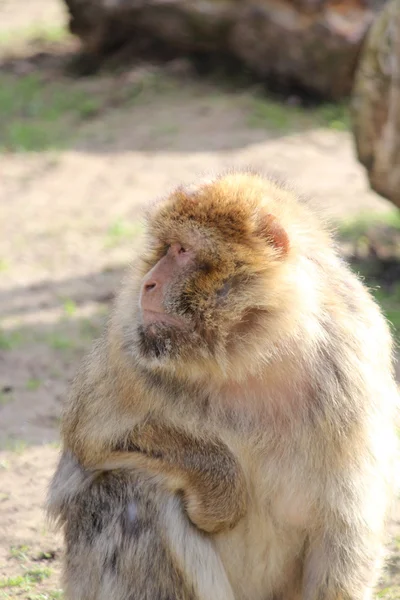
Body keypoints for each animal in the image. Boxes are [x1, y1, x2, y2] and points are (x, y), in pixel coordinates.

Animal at [48, 171, 398, 600]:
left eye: (182, 250)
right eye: (164, 248)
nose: (147, 283)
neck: (253, 354)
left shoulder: (354, 365)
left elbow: (345, 526)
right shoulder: (127, 354)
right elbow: (90, 440)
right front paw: (222, 493)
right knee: (134, 490)